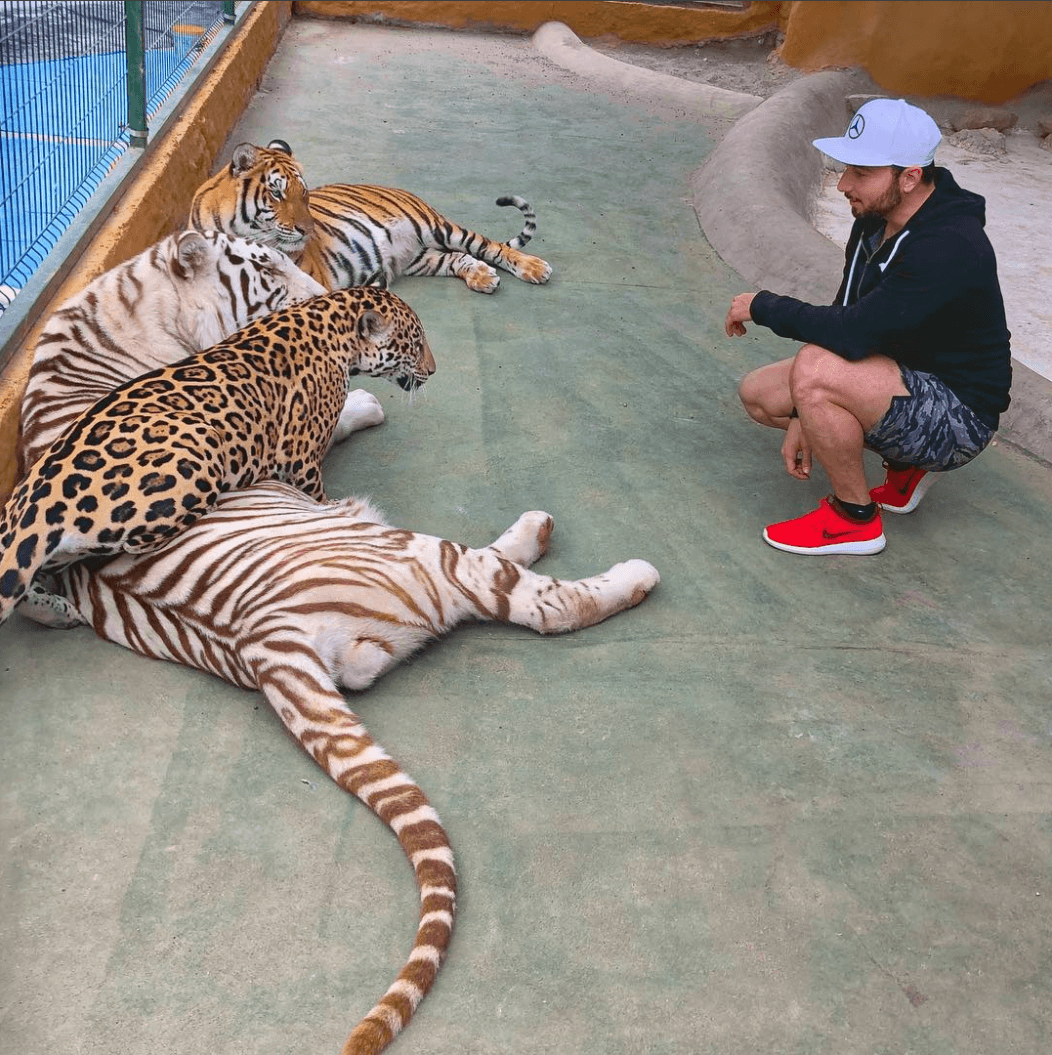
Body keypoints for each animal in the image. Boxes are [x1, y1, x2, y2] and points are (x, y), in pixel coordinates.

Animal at [0, 288, 435, 629]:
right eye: (415, 344)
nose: (433, 370)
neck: (331, 321)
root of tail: (37, 497)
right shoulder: (299, 456)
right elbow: (316, 490)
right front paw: (332, 506)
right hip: (200, 451)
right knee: (134, 544)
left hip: (48, 548)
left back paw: (57, 612)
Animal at [189, 139, 553, 294]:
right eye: (277, 194)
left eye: (304, 194)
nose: (307, 230)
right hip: (419, 258)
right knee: (456, 258)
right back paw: (482, 276)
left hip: (437, 226)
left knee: (489, 245)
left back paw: (534, 268)